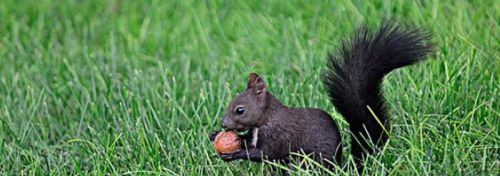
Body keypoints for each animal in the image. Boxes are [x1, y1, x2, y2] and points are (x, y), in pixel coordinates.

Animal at [209, 21, 432, 171]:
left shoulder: (278, 136)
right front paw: (216, 135)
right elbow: (249, 142)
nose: (223, 124)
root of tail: (341, 167)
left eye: (240, 110)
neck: (266, 119)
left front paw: (234, 153)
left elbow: (263, 153)